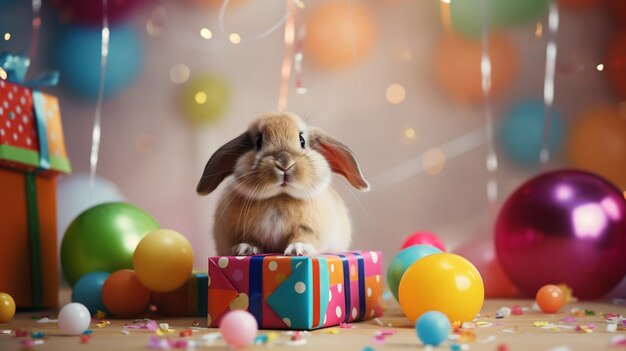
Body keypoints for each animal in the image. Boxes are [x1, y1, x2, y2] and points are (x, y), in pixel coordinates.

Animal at [197, 111, 368, 258]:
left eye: (302, 140)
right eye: (258, 141)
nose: (284, 163)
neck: (280, 197)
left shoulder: (311, 230)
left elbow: (303, 237)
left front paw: (298, 250)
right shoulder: (238, 231)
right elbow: (248, 239)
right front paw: (245, 249)